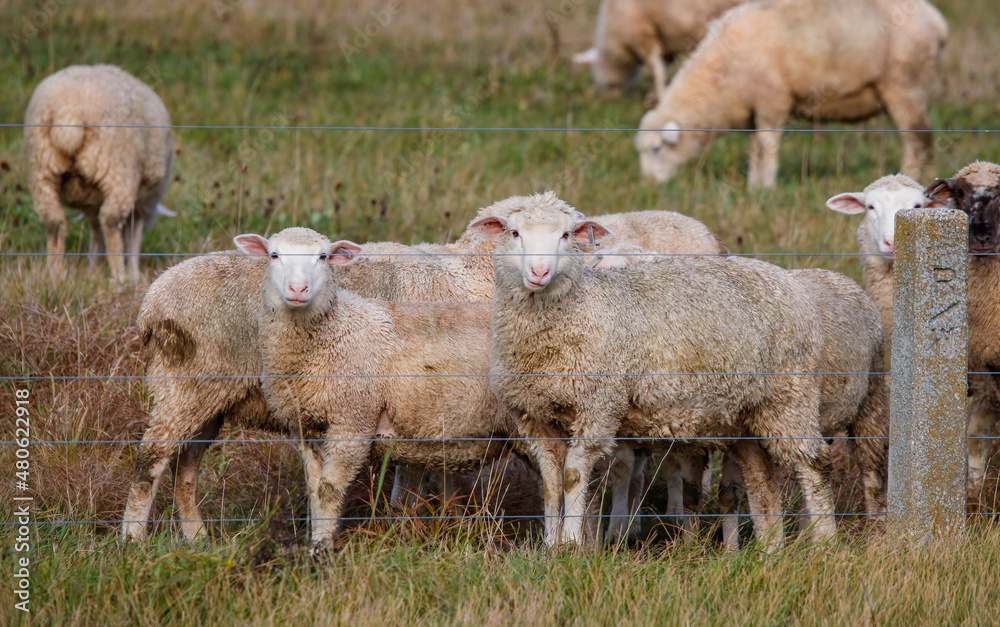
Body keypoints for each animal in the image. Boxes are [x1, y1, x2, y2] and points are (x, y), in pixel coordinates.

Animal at [25, 64, 175, 283]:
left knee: (54, 222)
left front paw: (93, 270)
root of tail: (70, 111)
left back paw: (55, 274)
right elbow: (132, 235)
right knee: (110, 221)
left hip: (42, 168)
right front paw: (133, 273)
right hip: (117, 167)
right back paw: (119, 275)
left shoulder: (90, 202)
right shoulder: (142, 202)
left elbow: (96, 232)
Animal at [123, 203, 729, 541]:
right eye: (515, 233)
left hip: (206, 401)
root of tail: (152, 303)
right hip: (185, 388)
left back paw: (194, 537)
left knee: (185, 468)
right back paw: (134, 542)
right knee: (152, 463)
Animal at [470, 192, 837, 548]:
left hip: (790, 396)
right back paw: (769, 549)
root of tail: (786, 277)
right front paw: (549, 547)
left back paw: (824, 543)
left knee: (813, 465)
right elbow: (550, 484)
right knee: (763, 478)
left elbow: (572, 478)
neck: (582, 306)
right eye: (514, 233)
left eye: (566, 235)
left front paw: (571, 547)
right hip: (746, 413)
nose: (539, 273)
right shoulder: (536, 417)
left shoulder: (597, 407)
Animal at [573, 0, 752, 98]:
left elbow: (656, 67)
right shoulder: (667, 43)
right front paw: (654, 95)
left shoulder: (643, 34)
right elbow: (664, 67)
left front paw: (659, 95)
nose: (610, 98)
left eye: (607, 83)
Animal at [634, 0, 947, 188]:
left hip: (905, 83)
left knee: (918, 140)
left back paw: (912, 180)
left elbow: (767, 146)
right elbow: (755, 149)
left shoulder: (772, 101)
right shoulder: (754, 111)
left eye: (656, 149)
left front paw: (766, 188)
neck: (721, 77)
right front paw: (753, 186)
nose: (648, 185)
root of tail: (936, 21)